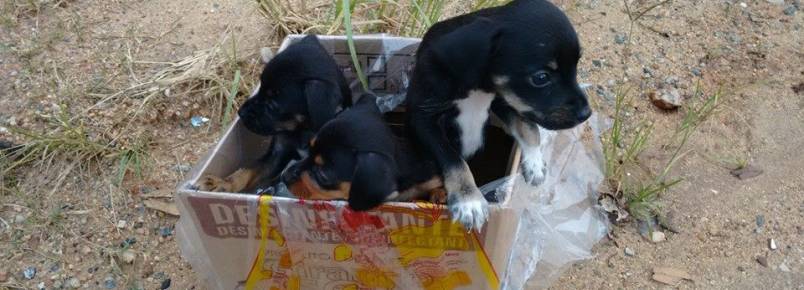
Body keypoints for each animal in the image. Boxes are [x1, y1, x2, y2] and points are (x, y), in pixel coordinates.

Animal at [408, 0, 592, 231]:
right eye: (541, 78)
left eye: (576, 65)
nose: (586, 113)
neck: (479, 86)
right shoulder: (423, 119)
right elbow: (453, 158)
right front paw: (469, 200)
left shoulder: (504, 99)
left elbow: (529, 128)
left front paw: (534, 162)